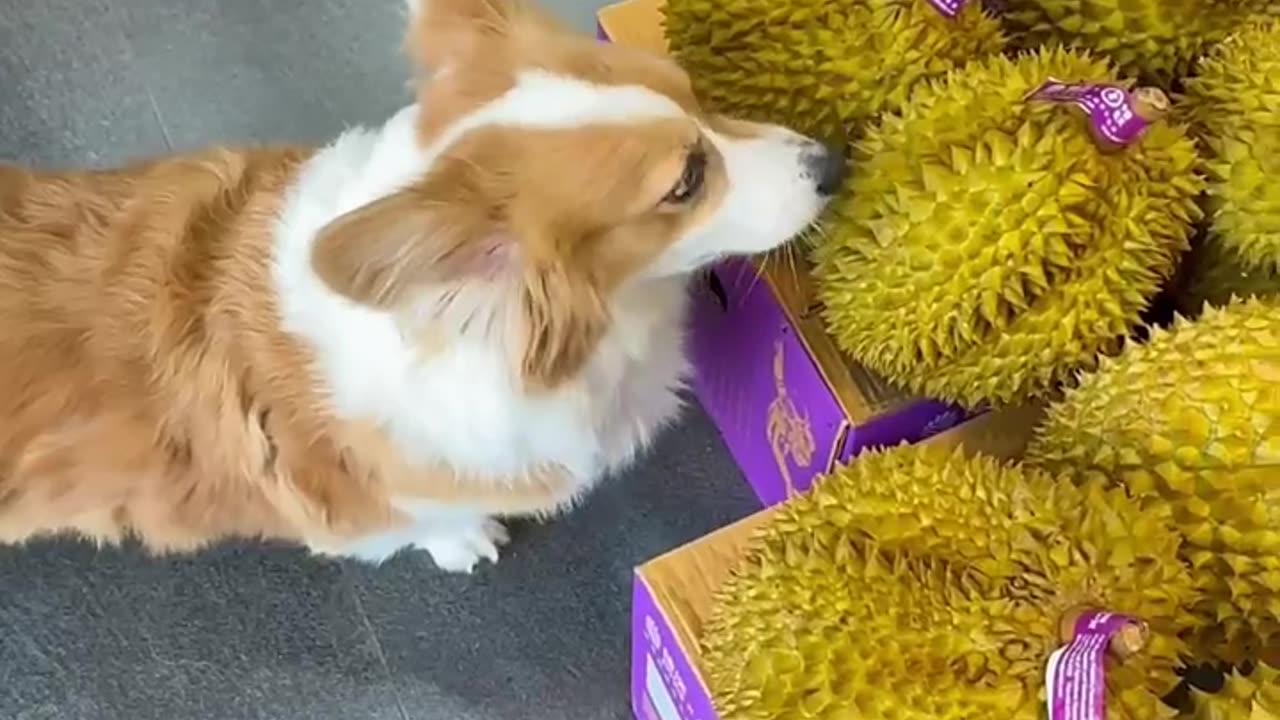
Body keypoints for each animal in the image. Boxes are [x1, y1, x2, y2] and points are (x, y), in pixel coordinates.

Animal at [0, 0, 839, 571]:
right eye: (686, 182)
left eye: (693, 91)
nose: (833, 163)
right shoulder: (371, 508)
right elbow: (426, 524)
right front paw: (468, 542)